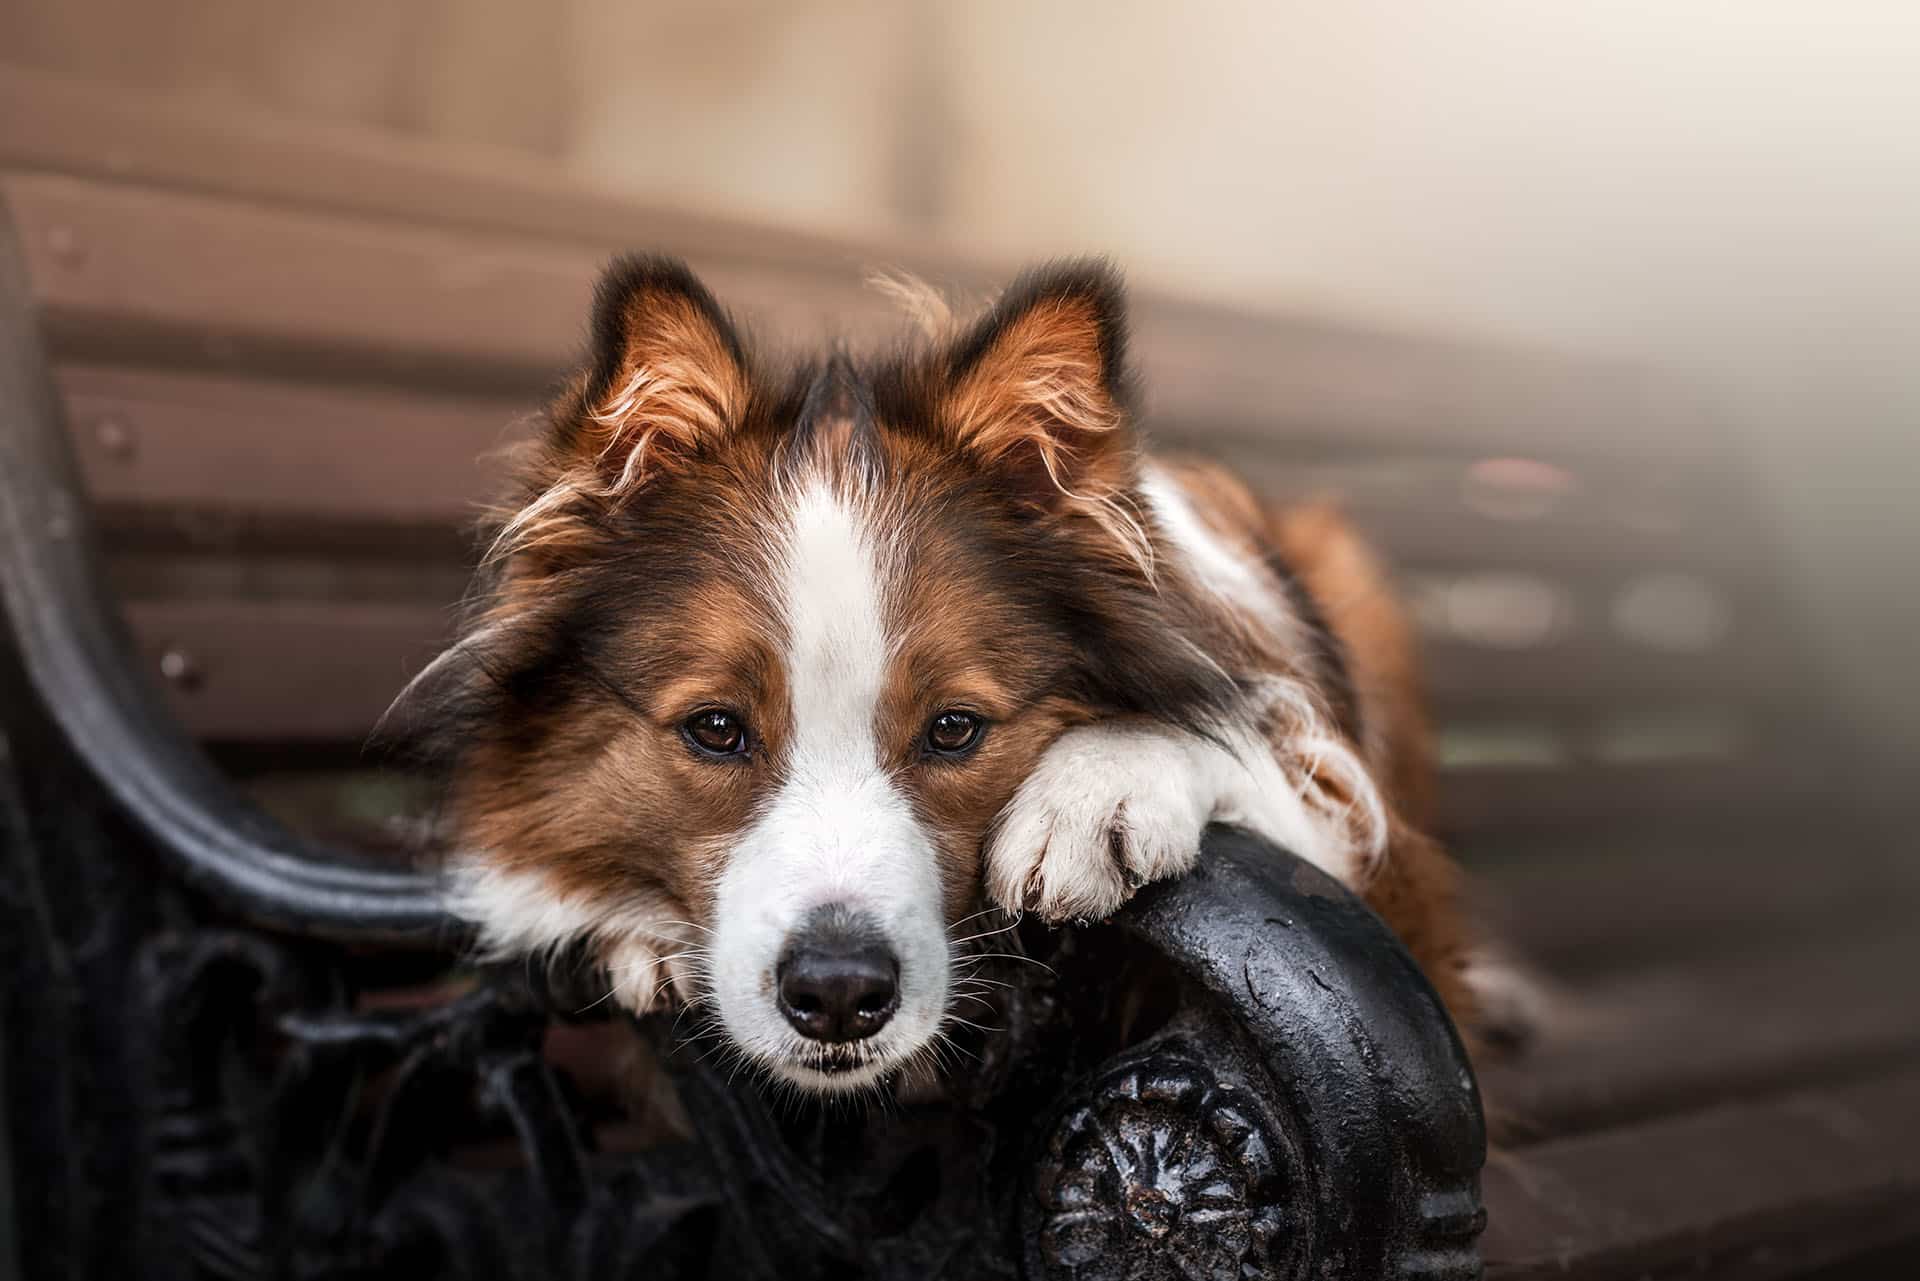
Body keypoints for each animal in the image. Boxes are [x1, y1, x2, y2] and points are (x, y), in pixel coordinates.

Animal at [405, 255, 1474, 1098]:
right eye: (715, 727)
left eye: (955, 727)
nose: (838, 995)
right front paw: (627, 922)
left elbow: (1270, 750)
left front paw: (1104, 786)